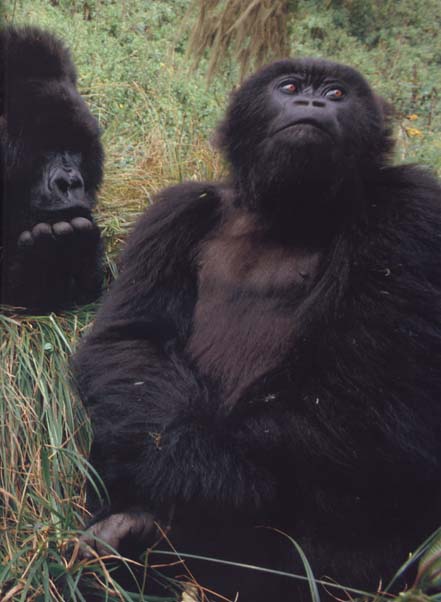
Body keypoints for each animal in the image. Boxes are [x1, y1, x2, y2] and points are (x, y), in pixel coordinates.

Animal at [73, 57, 440, 600]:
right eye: (289, 87)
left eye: (336, 93)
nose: (312, 102)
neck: (283, 212)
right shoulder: (177, 209)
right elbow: (130, 339)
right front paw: (181, 471)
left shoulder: (411, 209)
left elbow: (377, 384)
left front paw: (200, 476)